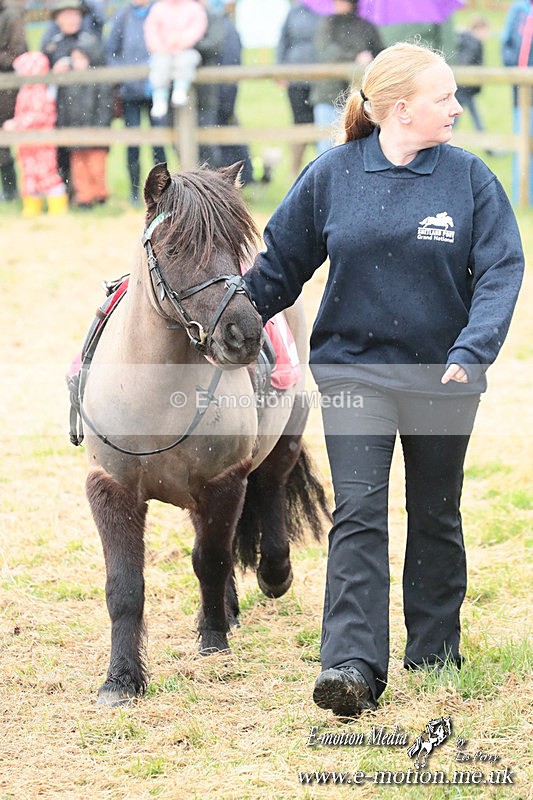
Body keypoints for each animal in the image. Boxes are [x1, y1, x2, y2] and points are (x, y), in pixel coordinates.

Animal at [77, 162, 329, 706]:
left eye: (235, 247)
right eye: (173, 250)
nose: (244, 335)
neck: (154, 399)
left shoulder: (222, 481)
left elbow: (210, 559)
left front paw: (212, 640)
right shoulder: (111, 488)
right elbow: (124, 587)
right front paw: (121, 679)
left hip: (286, 433)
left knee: (270, 488)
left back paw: (272, 575)